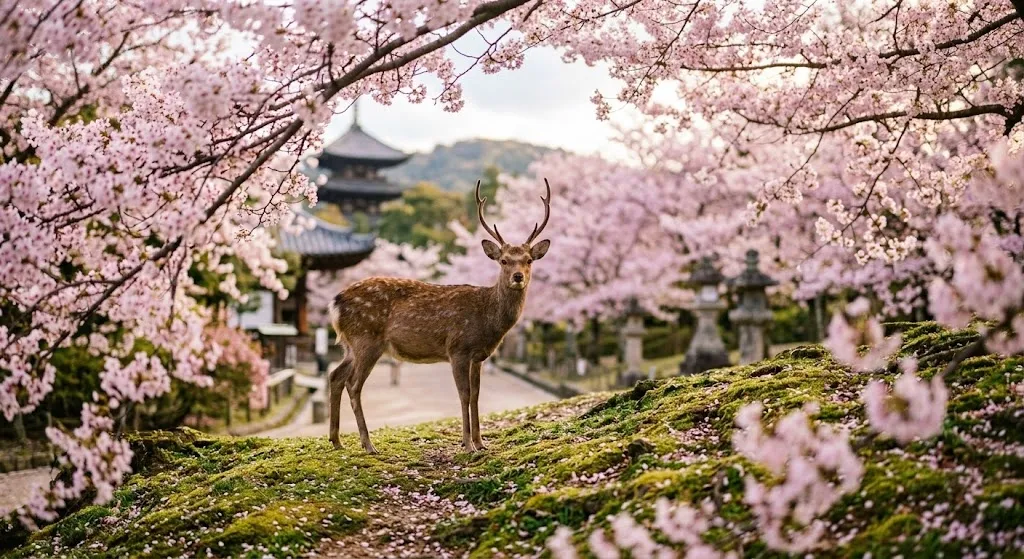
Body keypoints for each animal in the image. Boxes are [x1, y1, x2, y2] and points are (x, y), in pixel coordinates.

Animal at [327, 179, 552, 453]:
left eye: (529, 260)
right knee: (353, 384)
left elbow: (476, 395)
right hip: (366, 339)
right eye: (504, 261)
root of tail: (335, 302)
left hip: (350, 345)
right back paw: (368, 445)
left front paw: (481, 442)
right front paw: (467, 444)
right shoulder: (458, 348)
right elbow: (464, 394)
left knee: (335, 376)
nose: (518, 276)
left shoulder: (478, 356)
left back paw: (336, 440)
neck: (488, 320)